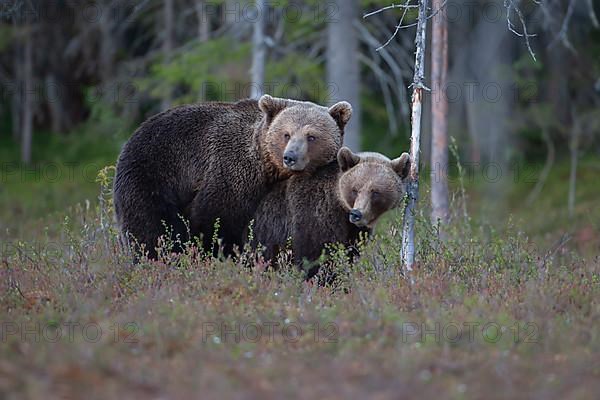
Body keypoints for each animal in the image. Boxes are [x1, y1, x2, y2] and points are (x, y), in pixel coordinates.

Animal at [113, 95, 352, 258]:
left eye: (311, 136)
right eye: (286, 134)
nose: (290, 157)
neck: (265, 166)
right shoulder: (229, 169)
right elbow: (216, 220)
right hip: (151, 175)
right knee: (151, 228)